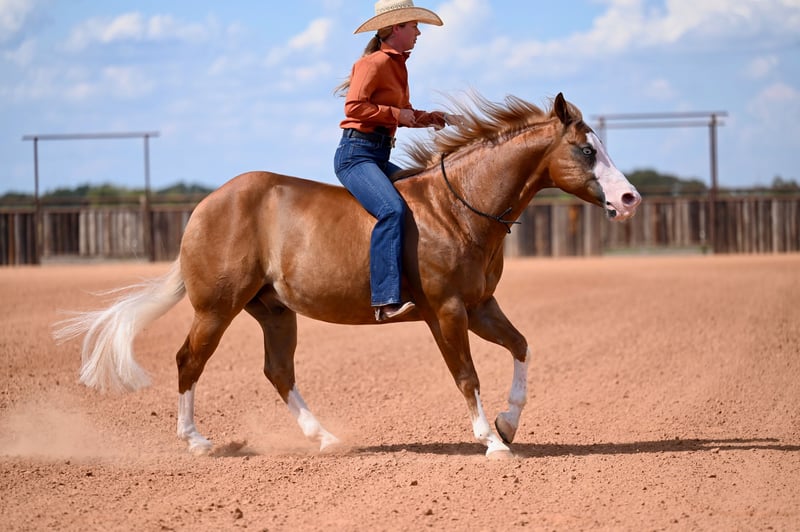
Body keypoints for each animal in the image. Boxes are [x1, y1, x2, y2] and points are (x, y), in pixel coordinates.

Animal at [55, 92, 641, 458]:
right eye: (587, 149)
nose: (630, 198)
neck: (457, 208)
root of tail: (207, 204)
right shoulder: (447, 312)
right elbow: (467, 375)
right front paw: (492, 442)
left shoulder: (480, 307)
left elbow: (521, 347)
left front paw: (508, 423)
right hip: (216, 308)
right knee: (188, 361)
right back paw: (197, 441)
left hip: (273, 311)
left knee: (278, 371)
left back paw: (326, 439)